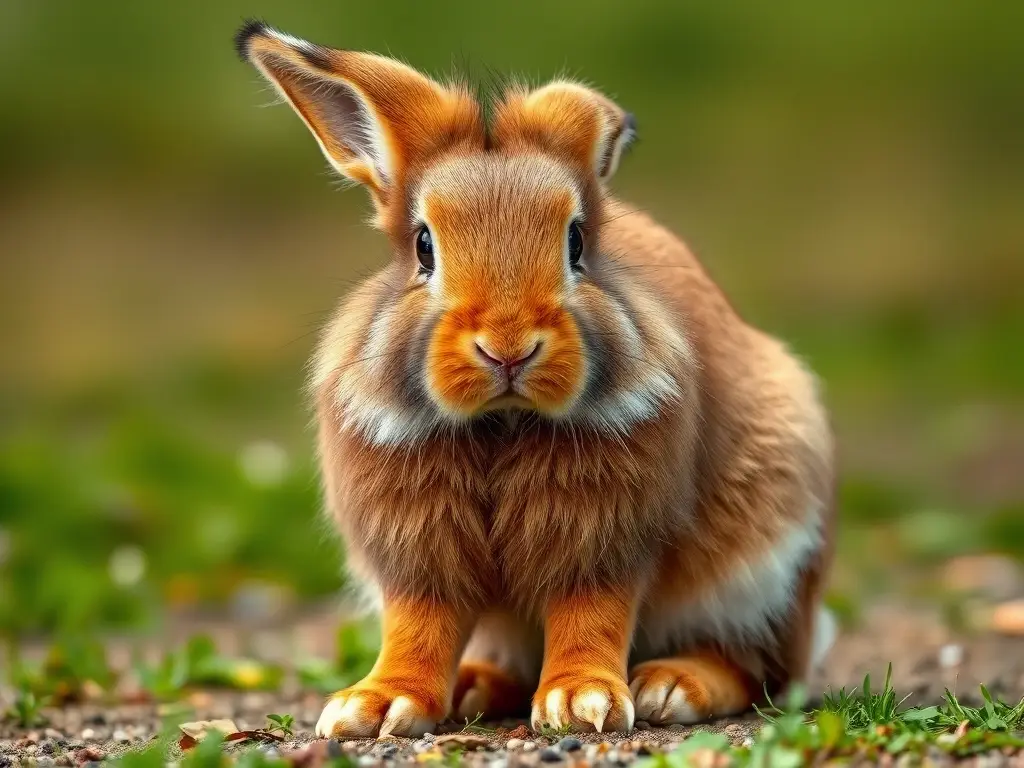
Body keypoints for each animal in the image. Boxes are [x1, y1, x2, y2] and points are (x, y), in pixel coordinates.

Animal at [235, 19, 836, 738]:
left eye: (576, 243)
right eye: (424, 247)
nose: (508, 348)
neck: (502, 420)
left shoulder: (603, 542)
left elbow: (591, 612)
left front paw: (582, 702)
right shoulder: (417, 555)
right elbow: (417, 624)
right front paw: (374, 705)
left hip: (764, 568)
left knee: (757, 666)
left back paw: (671, 685)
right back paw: (474, 687)